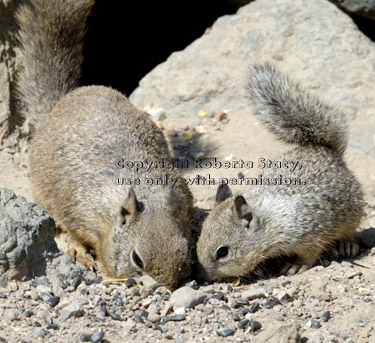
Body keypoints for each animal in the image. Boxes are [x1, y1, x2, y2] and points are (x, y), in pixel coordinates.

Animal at [15, 0, 192, 290]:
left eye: (186, 249)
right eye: (136, 259)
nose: (167, 287)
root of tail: (59, 105)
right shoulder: (76, 210)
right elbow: (75, 233)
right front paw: (84, 254)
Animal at [197, 61, 364, 282]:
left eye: (222, 252)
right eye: (198, 239)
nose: (201, 276)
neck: (271, 222)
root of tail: (326, 150)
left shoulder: (310, 234)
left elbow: (309, 254)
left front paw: (295, 265)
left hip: (352, 213)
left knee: (351, 230)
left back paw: (347, 245)